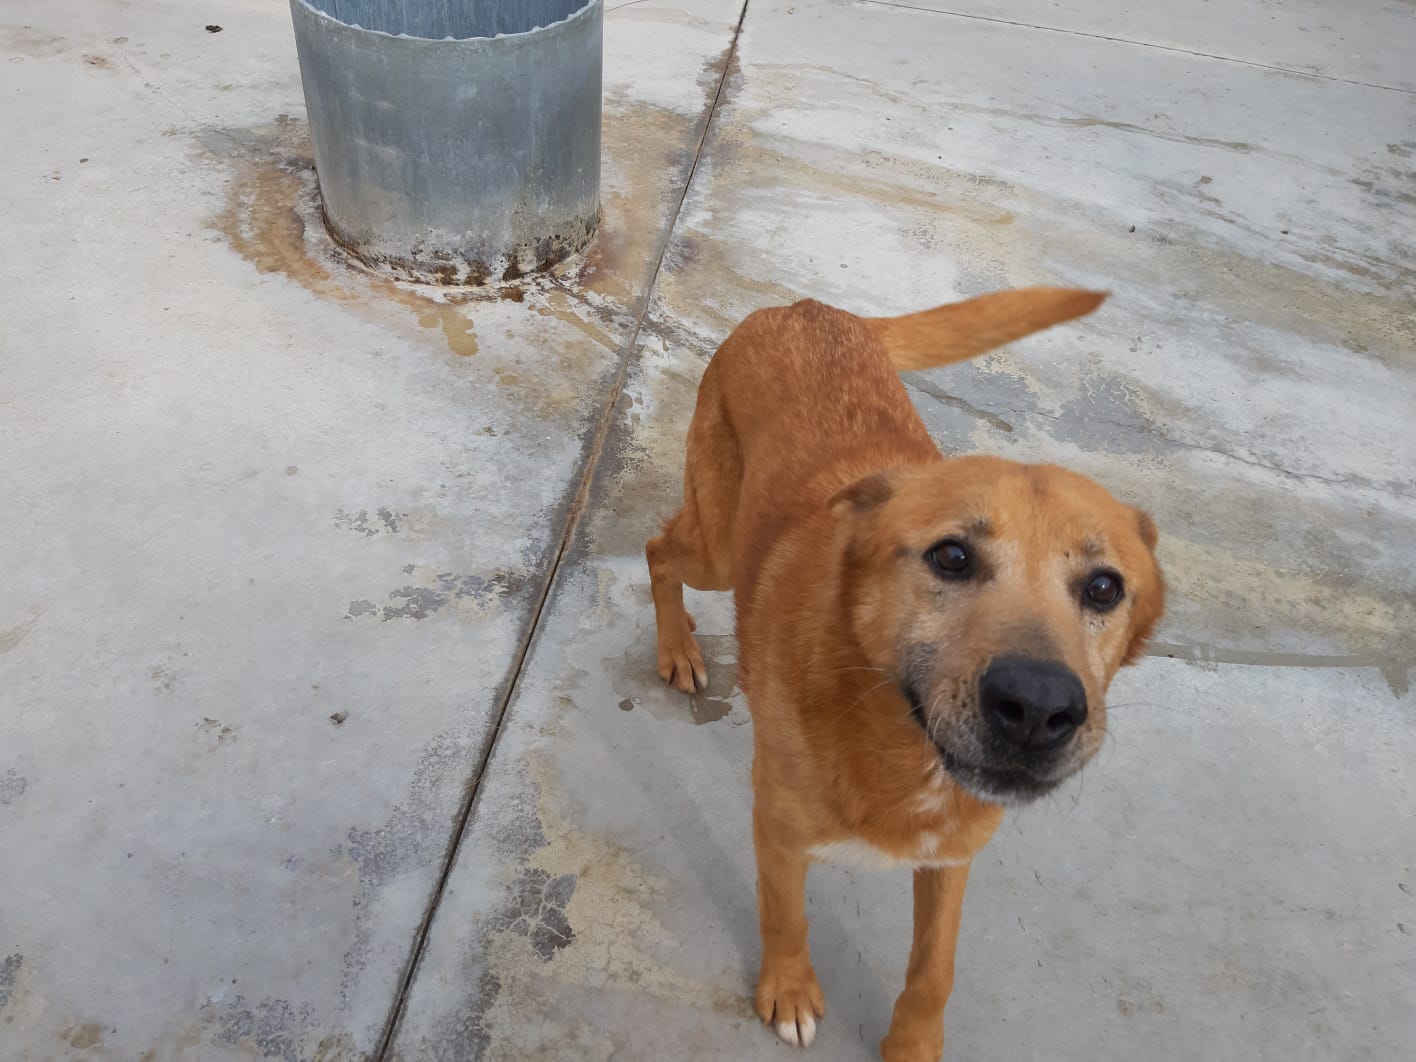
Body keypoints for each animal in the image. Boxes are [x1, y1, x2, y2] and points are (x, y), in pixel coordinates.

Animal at [645, 287, 1165, 1060]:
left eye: (1104, 588)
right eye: (950, 557)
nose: (1039, 710)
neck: (900, 738)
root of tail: (805, 306)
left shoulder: (952, 856)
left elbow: (933, 970)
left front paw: (912, 1044)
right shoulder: (778, 829)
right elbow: (785, 917)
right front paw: (789, 991)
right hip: (717, 545)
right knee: (659, 548)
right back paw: (676, 647)